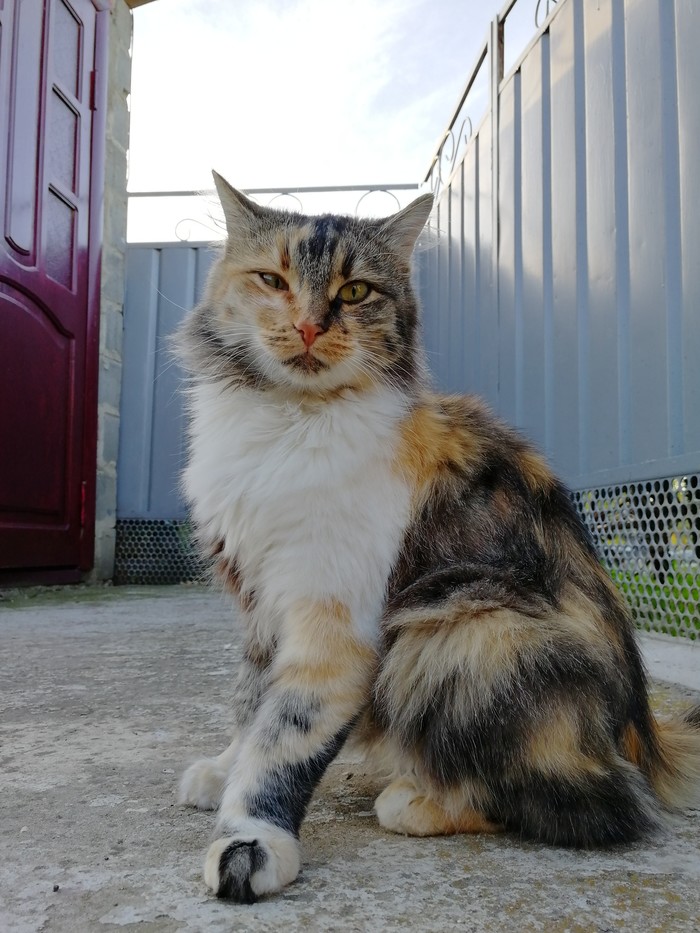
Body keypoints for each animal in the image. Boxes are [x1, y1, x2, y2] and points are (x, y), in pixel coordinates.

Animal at [176, 171, 700, 900]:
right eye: (272, 280)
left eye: (355, 292)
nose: (309, 324)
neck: (286, 421)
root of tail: (646, 738)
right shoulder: (258, 600)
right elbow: (249, 702)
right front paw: (225, 768)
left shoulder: (332, 617)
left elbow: (285, 731)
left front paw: (251, 839)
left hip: (458, 622)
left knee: (599, 804)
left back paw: (415, 795)